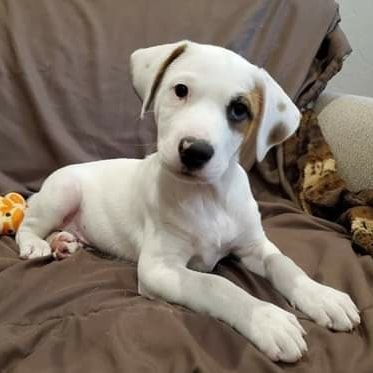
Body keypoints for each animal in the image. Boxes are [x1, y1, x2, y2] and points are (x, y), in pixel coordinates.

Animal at [16, 40, 358, 360]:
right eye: (180, 90)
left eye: (239, 109)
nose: (195, 150)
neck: (208, 197)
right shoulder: (158, 268)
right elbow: (216, 285)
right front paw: (267, 319)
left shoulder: (254, 246)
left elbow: (284, 263)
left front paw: (322, 295)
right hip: (63, 192)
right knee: (28, 225)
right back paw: (37, 245)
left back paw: (63, 242)